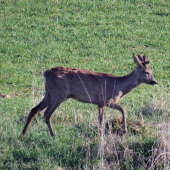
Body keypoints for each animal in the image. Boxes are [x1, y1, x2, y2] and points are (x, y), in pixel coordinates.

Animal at [22, 53, 157, 137]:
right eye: (146, 72)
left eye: (152, 72)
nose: (154, 81)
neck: (120, 87)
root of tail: (45, 74)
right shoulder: (106, 99)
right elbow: (123, 109)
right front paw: (124, 131)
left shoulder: (100, 103)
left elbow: (101, 120)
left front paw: (100, 135)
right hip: (58, 94)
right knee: (46, 113)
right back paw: (53, 135)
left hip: (48, 93)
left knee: (34, 109)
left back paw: (23, 134)